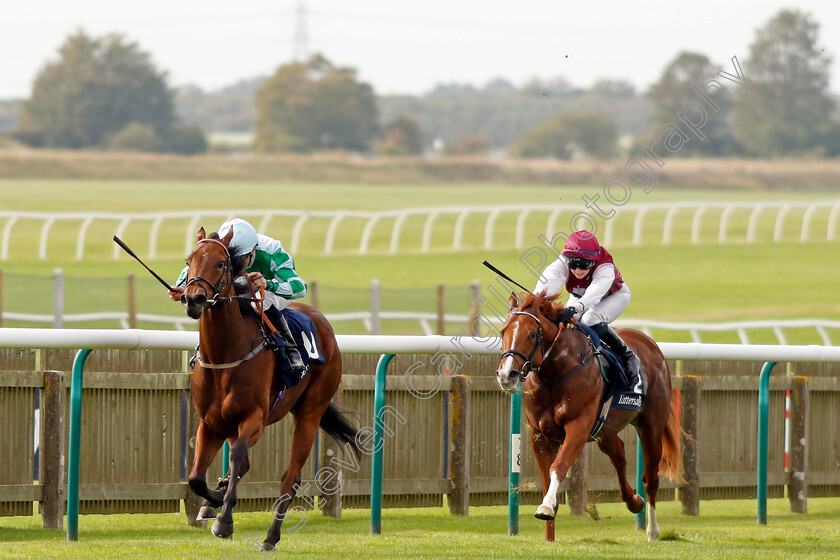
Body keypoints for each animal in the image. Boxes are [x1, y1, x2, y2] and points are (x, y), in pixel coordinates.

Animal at [182, 228, 356, 552]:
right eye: (189, 260)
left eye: (221, 263)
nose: (193, 298)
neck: (225, 355)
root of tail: (320, 319)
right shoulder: (210, 424)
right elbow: (197, 478)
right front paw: (215, 499)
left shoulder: (256, 417)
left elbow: (237, 455)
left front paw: (225, 519)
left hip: (310, 413)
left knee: (291, 477)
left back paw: (270, 537)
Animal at [492, 294, 684, 544]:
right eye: (503, 331)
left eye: (532, 334)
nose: (507, 375)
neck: (555, 373)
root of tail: (651, 345)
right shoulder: (539, 435)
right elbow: (547, 479)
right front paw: (549, 535)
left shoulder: (578, 427)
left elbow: (559, 466)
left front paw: (545, 507)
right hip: (605, 432)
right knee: (619, 455)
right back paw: (634, 501)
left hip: (651, 427)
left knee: (650, 478)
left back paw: (652, 531)